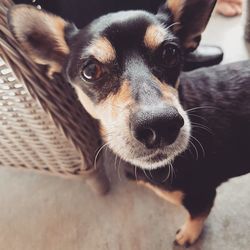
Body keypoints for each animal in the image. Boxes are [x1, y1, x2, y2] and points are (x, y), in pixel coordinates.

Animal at [7, 0, 250, 246]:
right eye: (91, 70)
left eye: (170, 54)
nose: (160, 125)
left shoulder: (201, 195)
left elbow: (197, 217)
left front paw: (188, 235)